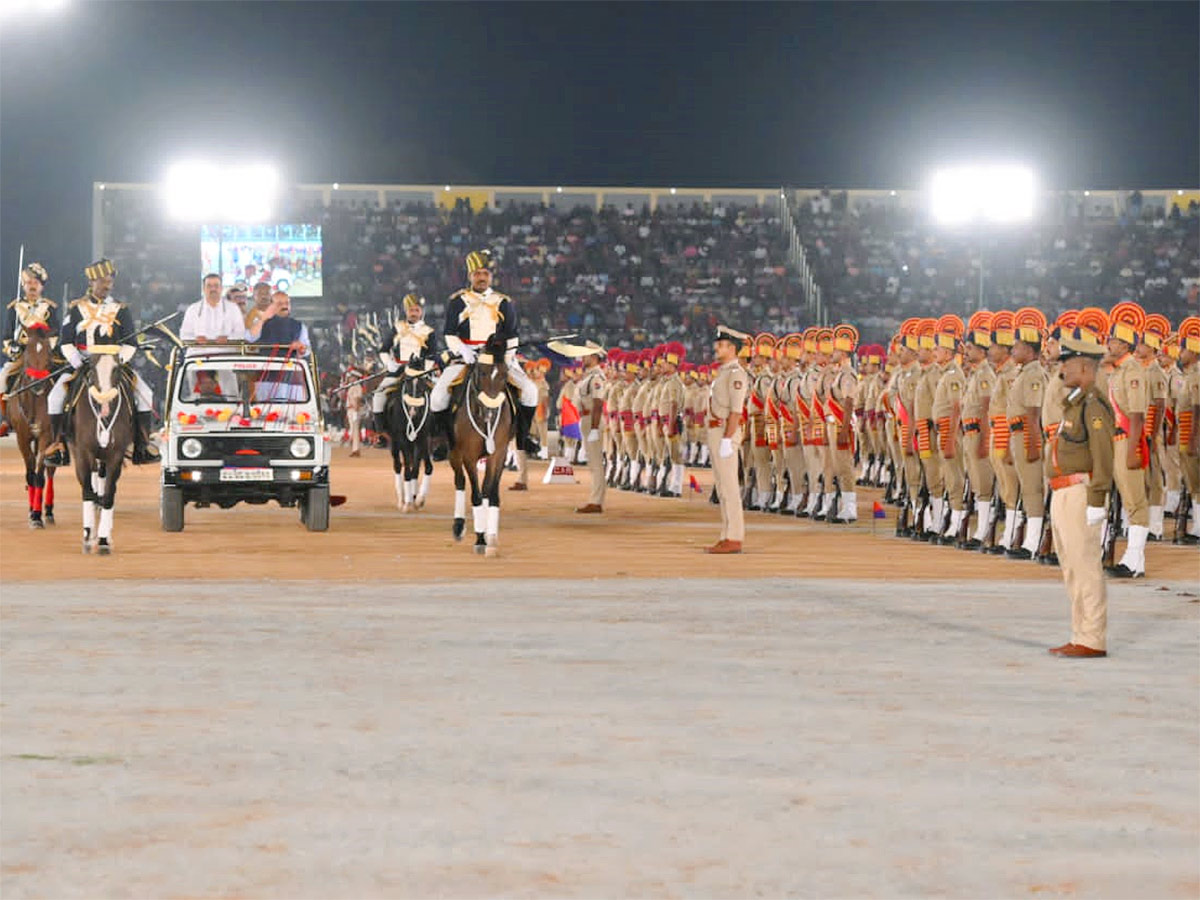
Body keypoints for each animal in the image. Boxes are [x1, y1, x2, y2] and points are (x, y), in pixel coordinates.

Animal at [6, 328, 57, 528]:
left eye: (49, 352)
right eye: (27, 352)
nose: (38, 384)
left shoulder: (45, 436)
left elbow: (40, 476)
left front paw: (37, 515)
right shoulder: (22, 438)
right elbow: (30, 474)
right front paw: (32, 513)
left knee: (50, 472)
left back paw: (48, 511)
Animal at [69, 355, 134, 556]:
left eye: (117, 369)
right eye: (91, 368)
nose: (105, 407)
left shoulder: (115, 456)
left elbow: (108, 494)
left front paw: (104, 539)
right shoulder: (83, 453)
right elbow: (88, 492)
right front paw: (88, 536)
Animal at [446, 331, 511, 556]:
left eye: (504, 374)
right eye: (481, 372)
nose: (490, 412)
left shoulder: (499, 453)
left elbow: (490, 493)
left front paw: (490, 535)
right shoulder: (468, 455)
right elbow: (475, 494)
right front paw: (480, 538)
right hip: (454, 453)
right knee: (459, 481)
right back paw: (458, 526)